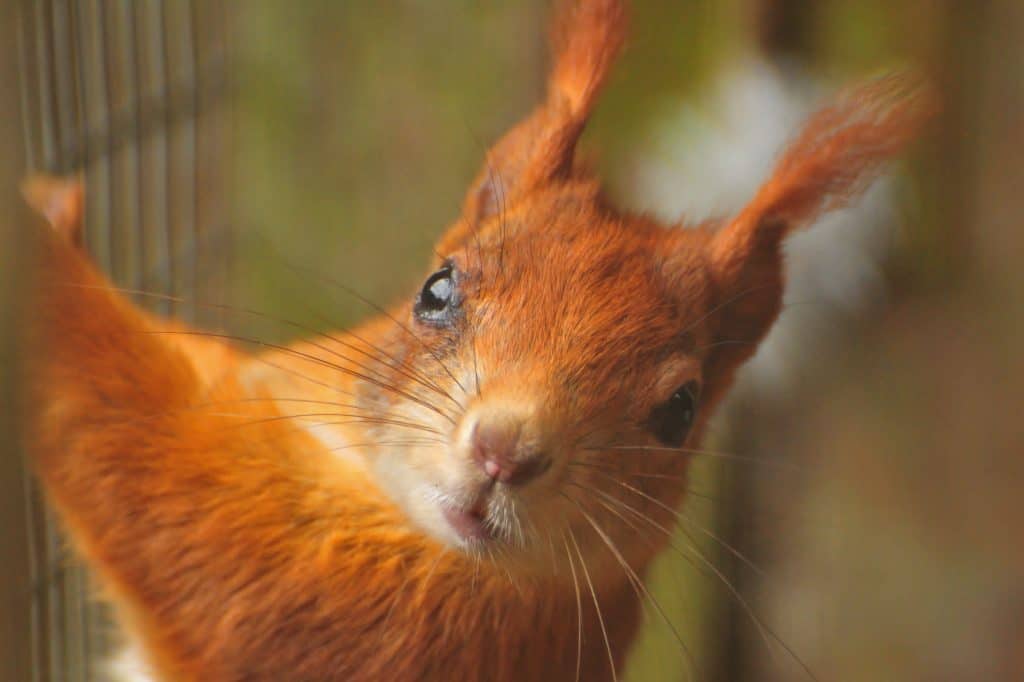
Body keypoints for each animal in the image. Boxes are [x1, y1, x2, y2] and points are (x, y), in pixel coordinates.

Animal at [18, 1, 929, 679]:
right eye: (437, 289)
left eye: (680, 410)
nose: (505, 452)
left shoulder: (388, 623)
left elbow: (156, 470)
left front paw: (33, 245)